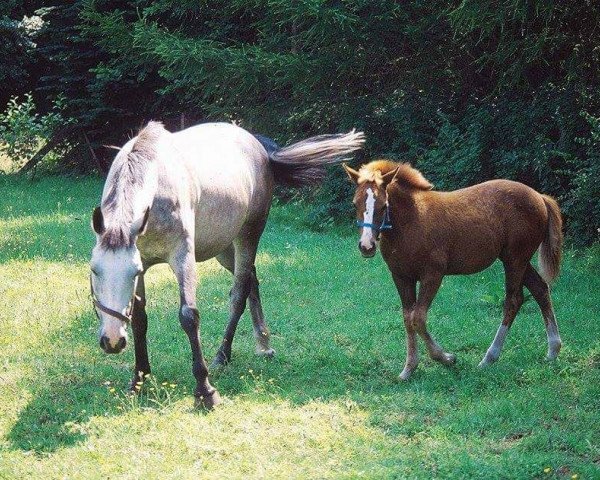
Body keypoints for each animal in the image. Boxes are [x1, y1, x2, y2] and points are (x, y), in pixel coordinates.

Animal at [88, 122, 360, 406]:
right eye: (94, 270)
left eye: (132, 273)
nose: (113, 341)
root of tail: (259, 148)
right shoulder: (142, 257)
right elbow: (140, 319)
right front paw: (139, 380)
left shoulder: (182, 258)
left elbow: (189, 317)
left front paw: (205, 390)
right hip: (225, 249)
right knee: (252, 279)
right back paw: (263, 344)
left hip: (247, 237)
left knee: (239, 294)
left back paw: (223, 355)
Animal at [344, 160, 564, 378]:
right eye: (355, 203)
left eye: (384, 205)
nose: (366, 246)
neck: (411, 221)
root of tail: (540, 197)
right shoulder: (401, 277)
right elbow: (408, 318)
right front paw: (409, 369)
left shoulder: (433, 275)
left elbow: (418, 318)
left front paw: (446, 358)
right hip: (517, 260)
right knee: (540, 289)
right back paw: (553, 350)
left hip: (515, 259)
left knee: (513, 300)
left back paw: (489, 358)